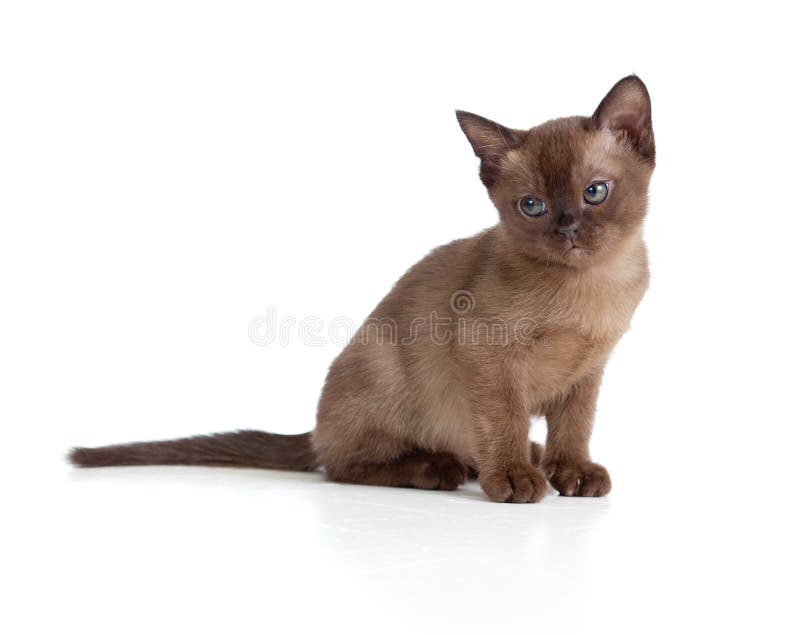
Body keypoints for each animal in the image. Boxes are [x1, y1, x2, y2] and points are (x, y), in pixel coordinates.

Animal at [70, 74, 656, 504]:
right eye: (531, 205)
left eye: (595, 192)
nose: (567, 229)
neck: (590, 287)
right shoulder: (487, 358)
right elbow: (504, 421)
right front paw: (514, 479)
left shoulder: (588, 371)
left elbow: (574, 427)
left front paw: (571, 473)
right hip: (382, 366)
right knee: (340, 464)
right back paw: (438, 467)